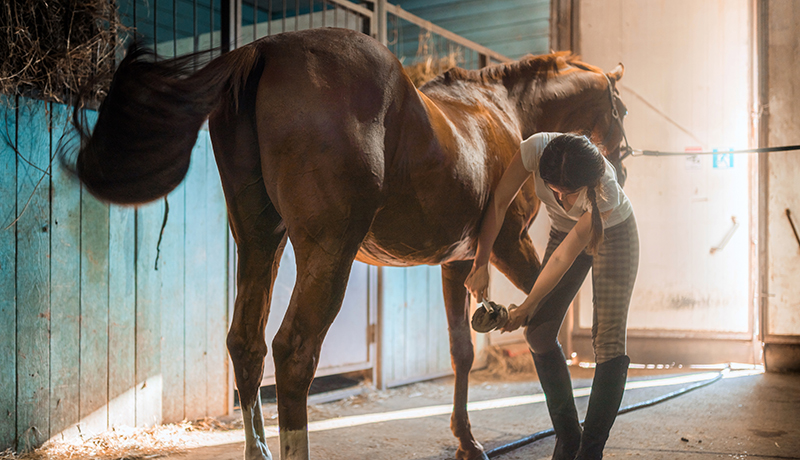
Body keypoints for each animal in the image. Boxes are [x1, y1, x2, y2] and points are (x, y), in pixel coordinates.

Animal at [75, 27, 627, 460]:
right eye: (619, 108)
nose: (619, 164)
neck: (500, 112)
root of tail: (264, 49)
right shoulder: (509, 245)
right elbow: (544, 318)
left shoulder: (458, 262)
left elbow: (462, 351)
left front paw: (468, 442)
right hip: (327, 251)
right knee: (294, 351)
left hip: (259, 238)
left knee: (246, 342)